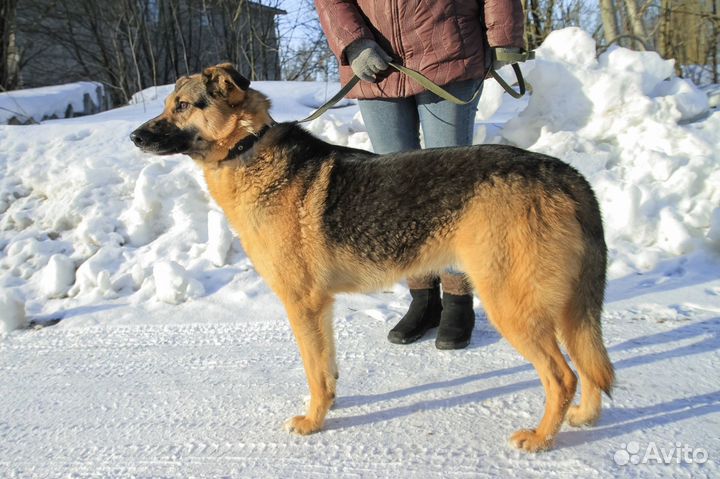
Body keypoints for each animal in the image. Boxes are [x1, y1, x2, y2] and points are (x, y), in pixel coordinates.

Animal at [131, 62, 612, 452]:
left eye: (182, 106)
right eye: (168, 105)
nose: (134, 136)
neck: (247, 146)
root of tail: (563, 173)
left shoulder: (303, 305)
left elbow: (314, 372)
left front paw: (313, 422)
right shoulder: (320, 309)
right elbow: (326, 371)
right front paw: (327, 407)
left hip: (511, 306)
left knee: (564, 376)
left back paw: (540, 438)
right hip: (565, 308)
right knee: (589, 366)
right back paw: (584, 417)